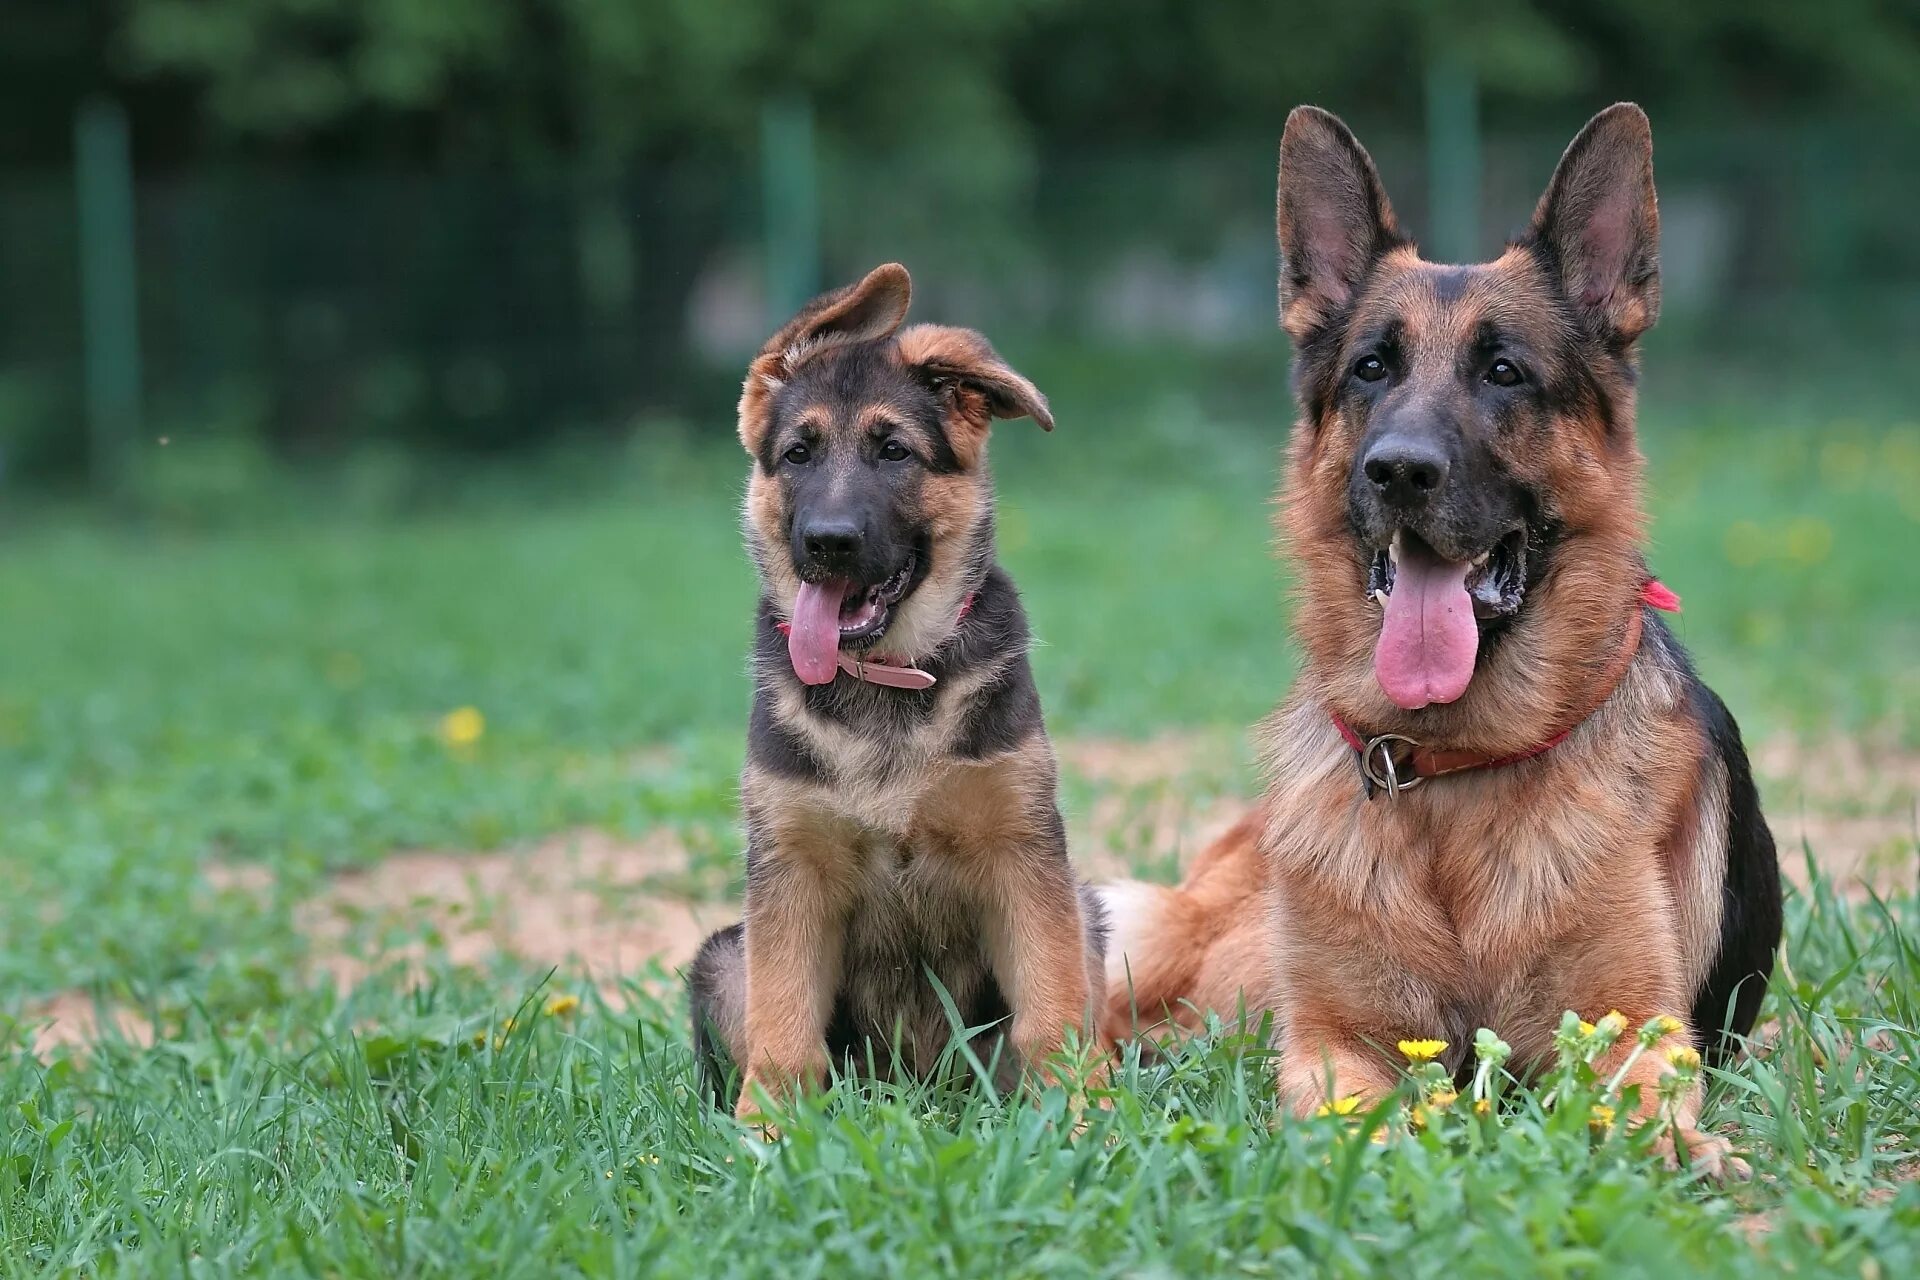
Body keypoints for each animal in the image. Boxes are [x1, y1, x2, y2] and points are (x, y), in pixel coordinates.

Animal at [691, 264, 1113, 1113]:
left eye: (893, 452)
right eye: (797, 454)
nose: (827, 542)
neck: (887, 675)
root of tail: (921, 1089)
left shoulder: (1023, 854)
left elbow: (1053, 1010)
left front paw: (1082, 1116)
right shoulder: (791, 867)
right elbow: (783, 1026)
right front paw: (768, 1129)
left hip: (1083, 913)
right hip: (722, 956)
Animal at [1105, 105, 1774, 1174]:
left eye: (1504, 373)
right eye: (1371, 368)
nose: (1399, 471)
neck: (1454, 772)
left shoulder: (1636, 1023)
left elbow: (1641, 1095)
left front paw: (1679, 1146)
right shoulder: (1333, 1038)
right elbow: (1359, 1110)